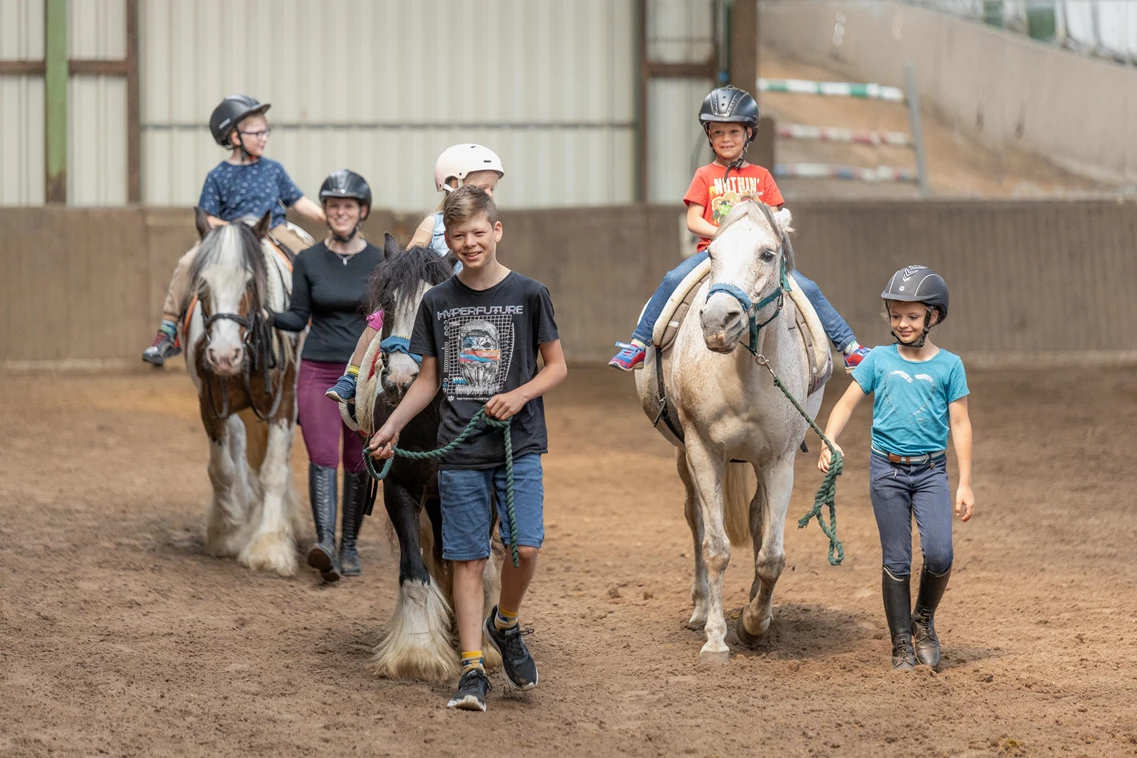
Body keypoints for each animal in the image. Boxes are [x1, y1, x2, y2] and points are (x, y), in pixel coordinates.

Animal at [179, 210, 302, 577]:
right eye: (203, 284)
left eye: (250, 282)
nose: (224, 355)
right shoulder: (210, 403)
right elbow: (222, 469)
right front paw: (229, 531)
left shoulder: (284, 402)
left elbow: (274, 470)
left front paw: (269, 547)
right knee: (238, 449)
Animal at [632, 204, 827, 659]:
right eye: (711, 254)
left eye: (768, 254)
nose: (718, 321)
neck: (745, 377)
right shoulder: (703, 451)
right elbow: (716, 547)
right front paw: (717, 638)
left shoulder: (779, 460)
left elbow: (771, 555)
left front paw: (754, 624)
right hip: (684, 455)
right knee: (697, 519)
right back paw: (702, 609)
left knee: (756, 519)